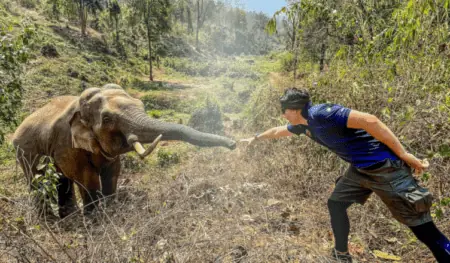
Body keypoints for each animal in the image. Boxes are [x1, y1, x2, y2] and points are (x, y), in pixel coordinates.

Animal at [12, 84, 236, 219]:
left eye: (141, 105)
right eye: (107, 119)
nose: (234, 144)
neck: (80, 106)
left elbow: (112, 172)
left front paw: (111, 211)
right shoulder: (67, 143)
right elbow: (86, 177)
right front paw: (95, 221)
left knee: (61, 180)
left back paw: (68, 218)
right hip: (24, 151)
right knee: (38, 181)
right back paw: (52, 221)